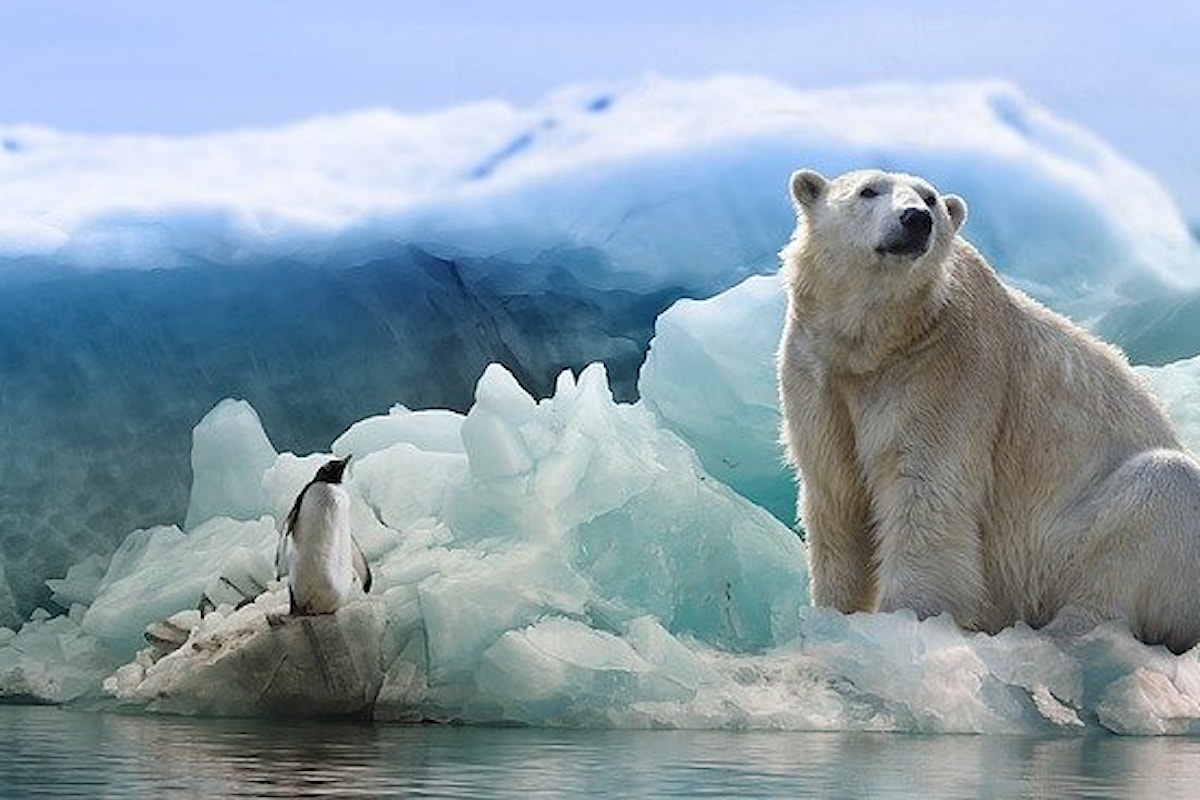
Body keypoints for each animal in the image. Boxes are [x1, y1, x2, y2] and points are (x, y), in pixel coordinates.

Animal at [777, 165, 1200, 652]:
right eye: (868, 191)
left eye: (931, 198)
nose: (915, 219)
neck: (879, 341)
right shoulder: (818, 374)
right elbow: (836, 493)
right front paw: (832, 616)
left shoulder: (945, 371)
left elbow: (925, 493)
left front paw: (905, 621)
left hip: (1080, 536)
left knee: (1156, 495)